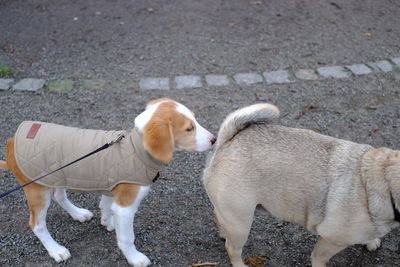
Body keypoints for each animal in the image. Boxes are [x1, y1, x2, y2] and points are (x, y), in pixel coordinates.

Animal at [0, 99, 216, 267]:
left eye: (196, 121)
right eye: (189, 128)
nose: (214, 139)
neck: (135, 149)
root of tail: (11, 141)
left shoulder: (110, 186)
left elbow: (105, 206)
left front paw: (108, 222)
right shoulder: (125, 206)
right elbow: (127, 237)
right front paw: (134, 257)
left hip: (57, 176)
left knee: (59, 196)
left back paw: (78, 213)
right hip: (37, 190)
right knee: (37, 224)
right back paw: (56, 250)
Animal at [203, 104, 400, 267]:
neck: (381, 178)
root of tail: (227, 142)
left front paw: (371, 241)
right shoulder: (331, 241)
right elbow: (319, 258)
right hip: (241, 222)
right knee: (233, 249)